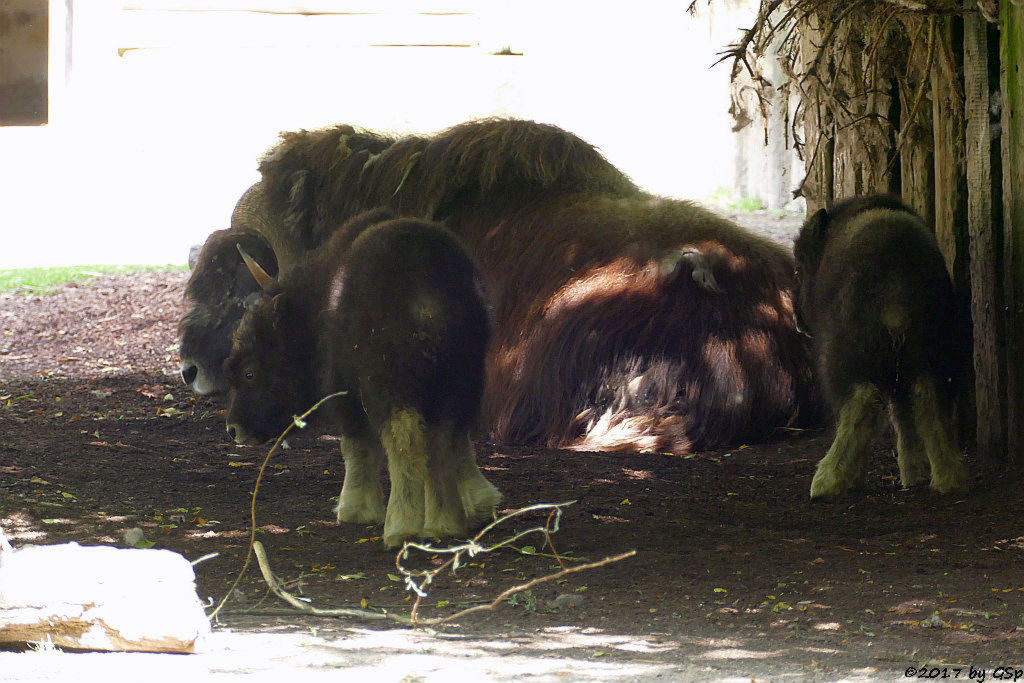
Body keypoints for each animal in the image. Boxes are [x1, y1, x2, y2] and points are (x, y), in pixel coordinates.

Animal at [223, 210, 499, 548]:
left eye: (250, 371)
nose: (233, 430)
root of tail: (427, 299)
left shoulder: (345, 390)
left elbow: (355, 445)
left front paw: (355, 509)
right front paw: (479, 503)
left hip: (391, 383)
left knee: (403, 438)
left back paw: (401, 527)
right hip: (460, 379)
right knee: (448, 436)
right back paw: (445, 524)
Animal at [790, 194, 966, 499]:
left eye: (799, 270)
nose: (798, 320)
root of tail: (896, 287)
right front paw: (914, 474)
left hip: (845, 359)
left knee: (861, 407)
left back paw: (827, 482)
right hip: (932, 355)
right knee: (929, 403)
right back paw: (947, 478)